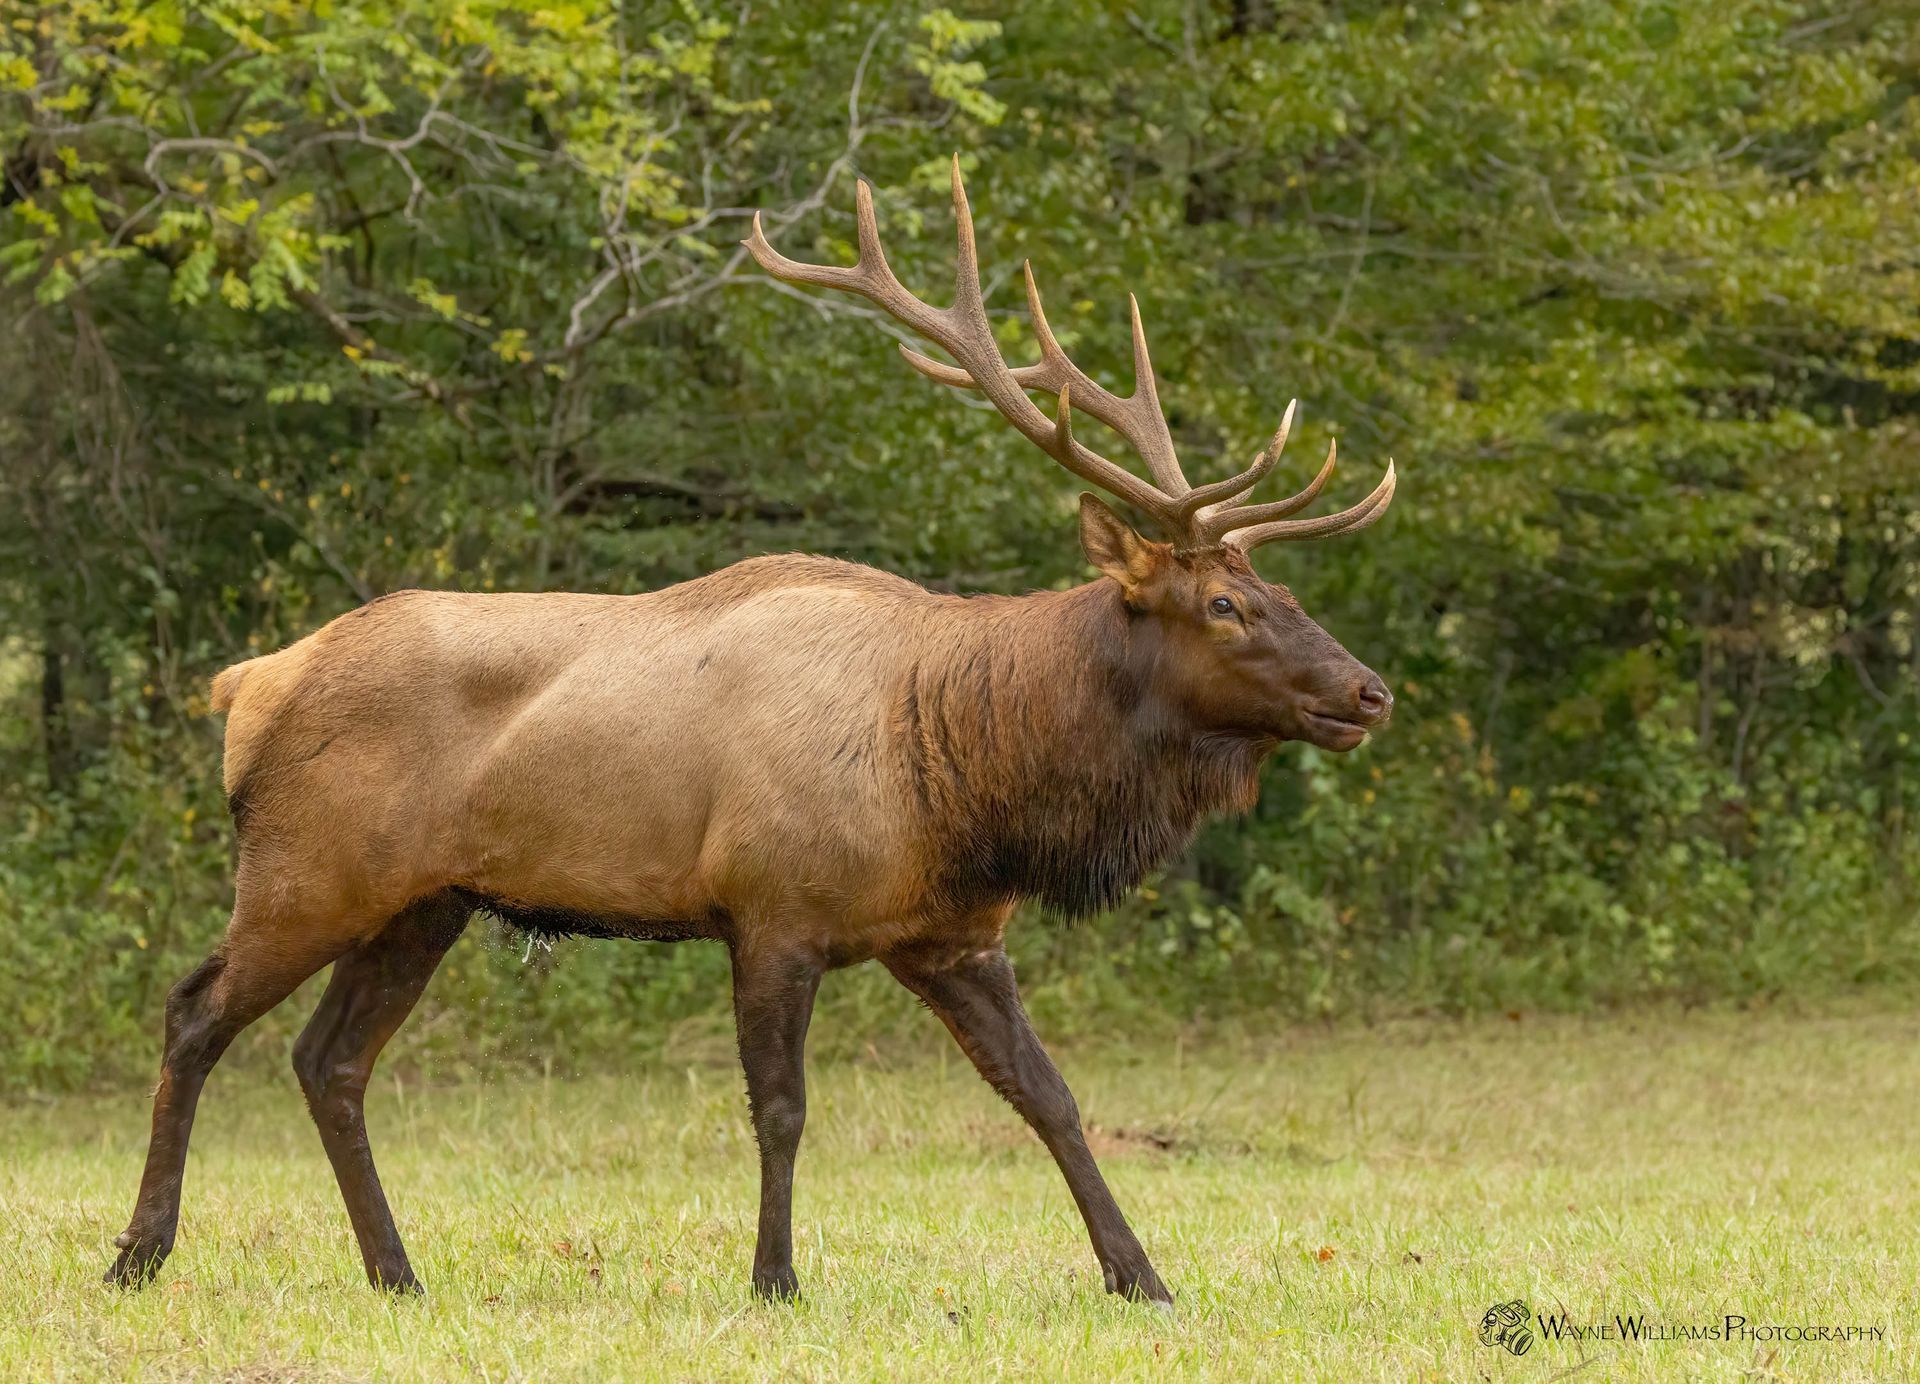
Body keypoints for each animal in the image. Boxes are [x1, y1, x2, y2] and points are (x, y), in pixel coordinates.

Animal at [106, 159, 1396, 1307]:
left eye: (1277, 591)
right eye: (1224, 604)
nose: (1369, 691)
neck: (962, 776)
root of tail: (248, 683)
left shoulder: (953, 935)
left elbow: (1052, 1096)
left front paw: (1143, 1276)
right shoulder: (772, 909)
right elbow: (781, 1108)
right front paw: (776, 1278)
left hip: (424, 902)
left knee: (329, 1060)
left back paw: (396, 1272)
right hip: (305, 873)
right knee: (193, 1012)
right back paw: (141, 1254)